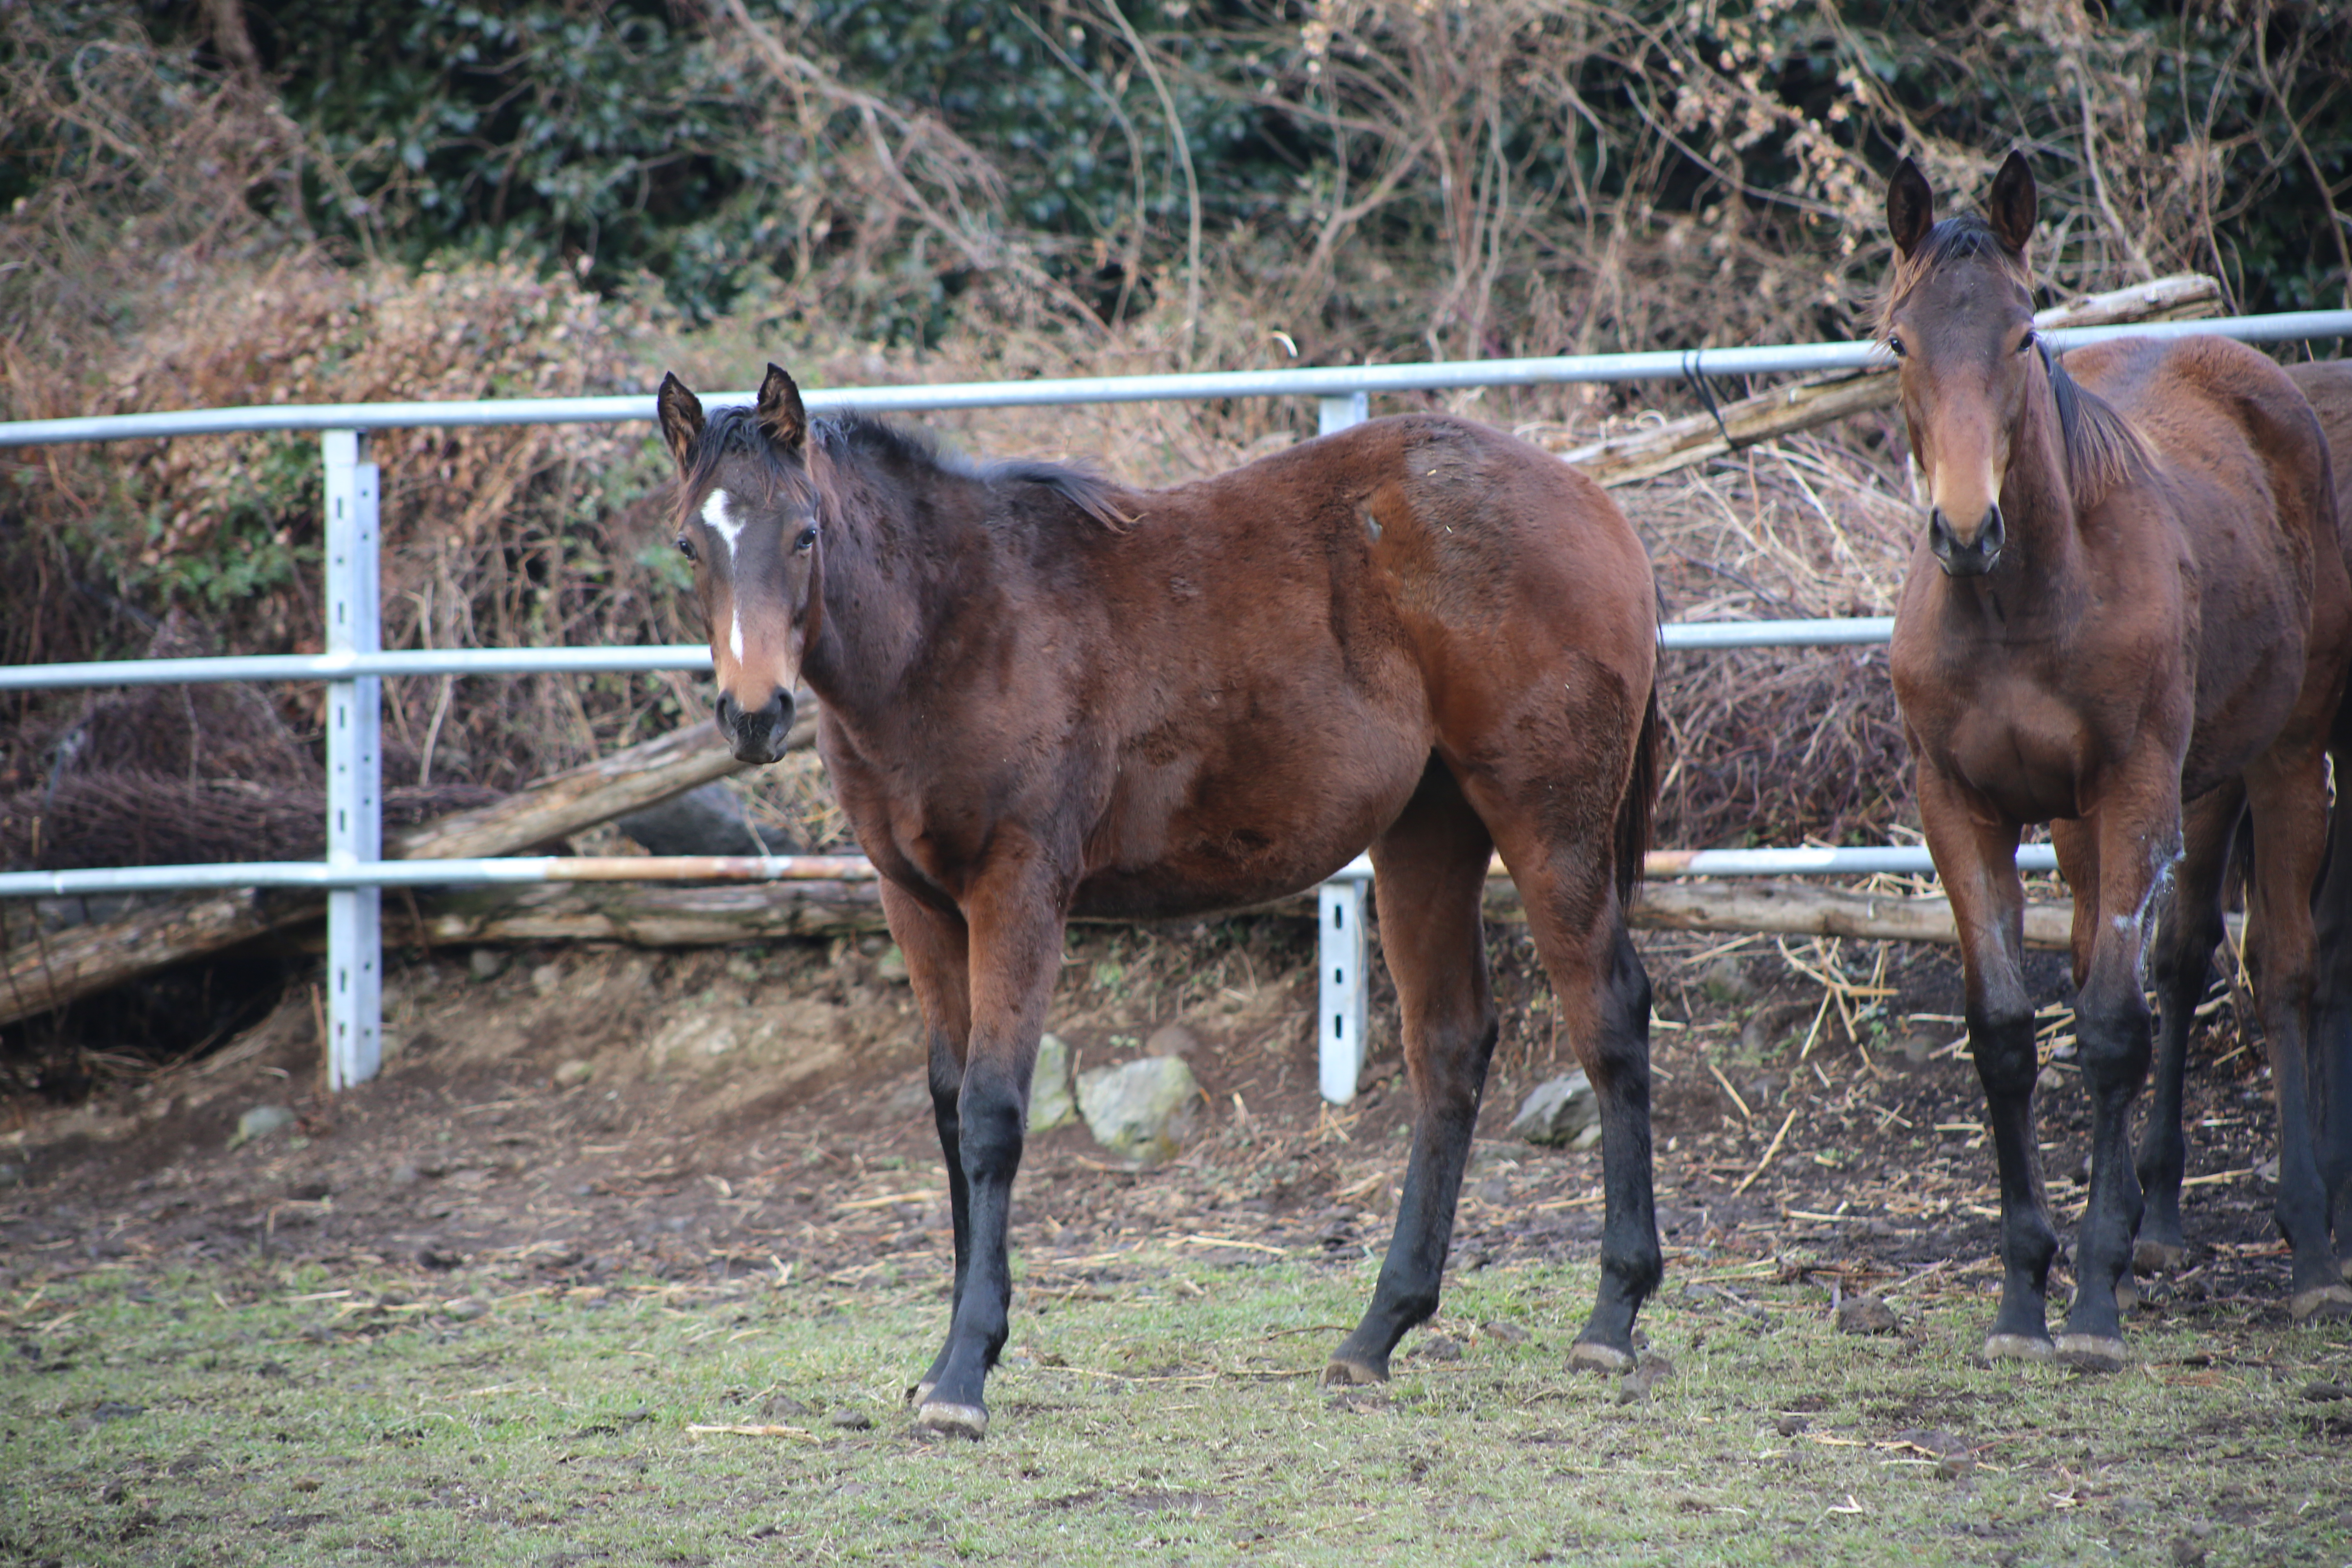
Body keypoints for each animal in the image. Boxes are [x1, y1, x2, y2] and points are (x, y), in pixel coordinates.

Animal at [654, 369, 1665, 1439]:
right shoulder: (916, 904)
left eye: (805, 533)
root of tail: (1595, 504)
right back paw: (1376, 1332)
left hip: (1548, 827)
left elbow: (991, 1114)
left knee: (1607, 1019)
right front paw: (944, 1363)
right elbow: (946, 1111)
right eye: (690, 545)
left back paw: (1611, 1315)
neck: (948, 624)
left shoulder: (1018, 889)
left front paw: (965, 1375)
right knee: (1450, 1045)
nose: (753, 714)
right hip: (1427, 830)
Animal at [1882, 153, 2352, 1363]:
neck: (2017, 604)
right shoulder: (1962, 807)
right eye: (1897, 342)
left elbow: (2105, 1030)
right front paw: (2021, 1297)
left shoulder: (2135, 788)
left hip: (2285, 759)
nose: (1963, 530)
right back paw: (2156, 1224)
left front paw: (2088, 1302)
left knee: (2287, 968)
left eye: (2018, 335)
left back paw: (2311, 1246)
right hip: (2156, 796)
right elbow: (2006, 1034)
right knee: (2175, 955)